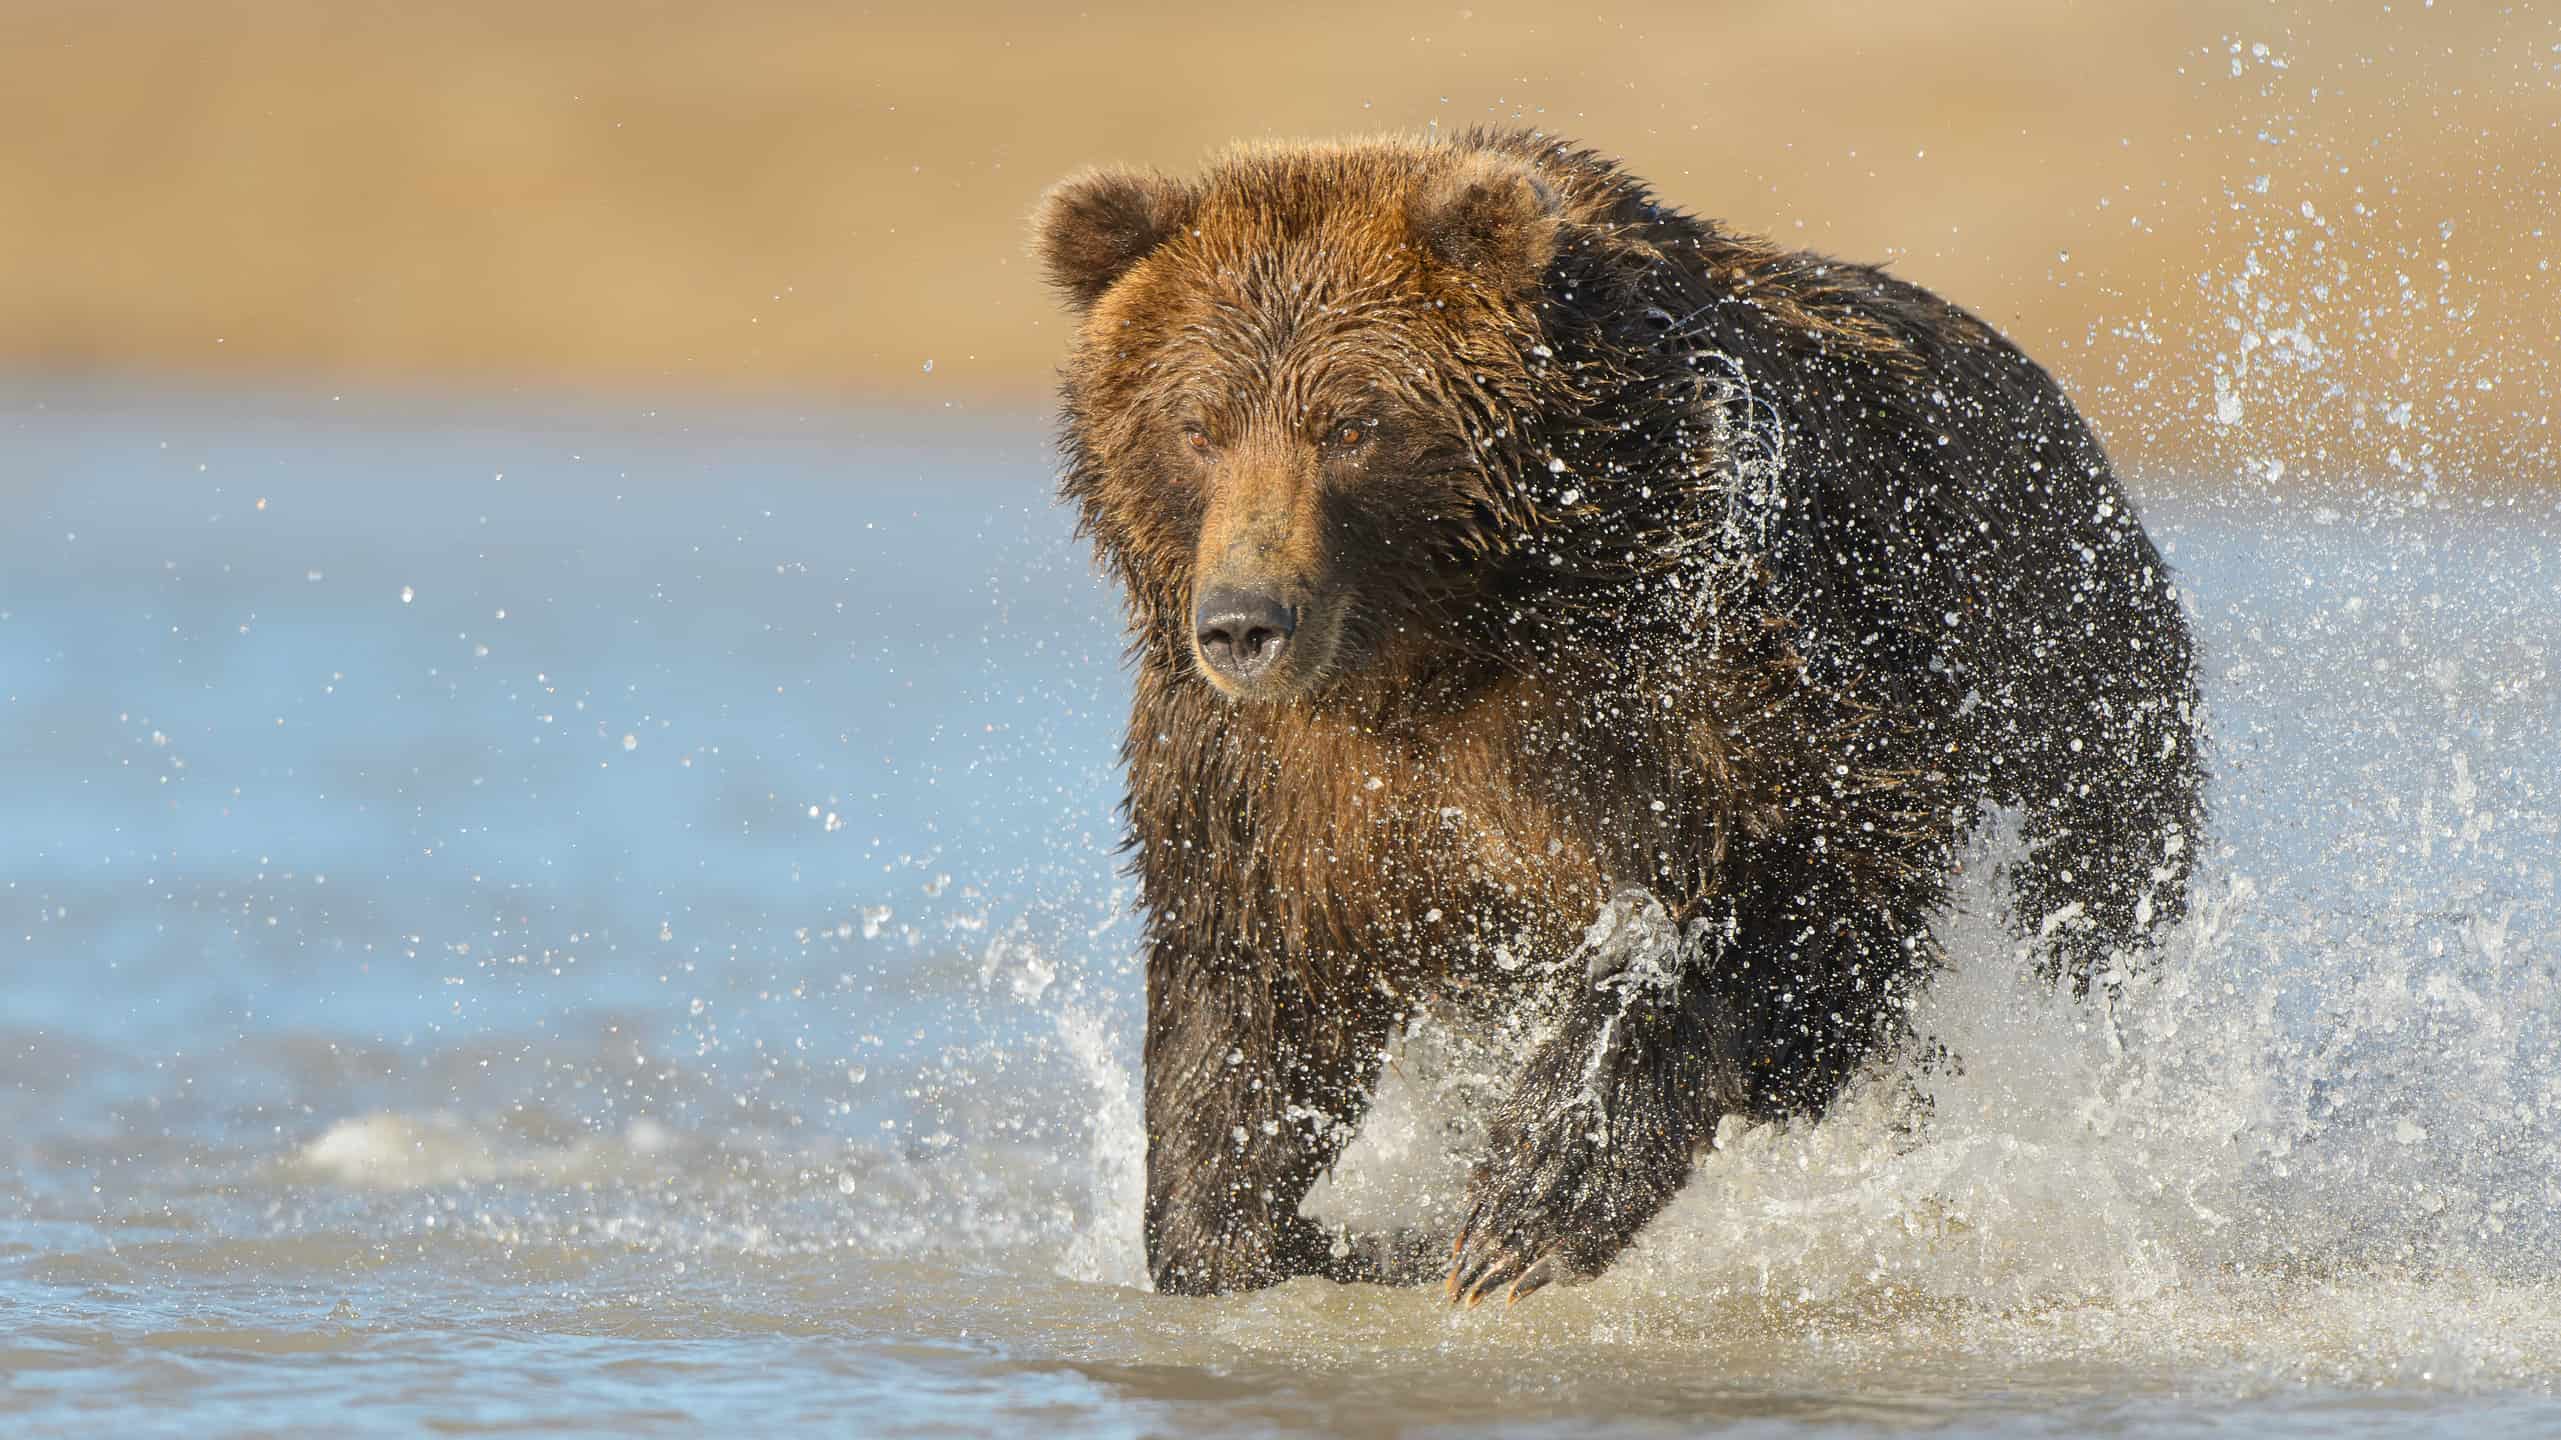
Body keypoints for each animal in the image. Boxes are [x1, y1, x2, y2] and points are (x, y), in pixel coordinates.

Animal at [1032, 130, 2204, 1304]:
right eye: (1197, 424)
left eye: (1353, 425)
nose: (1245, 622)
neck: (1440, 640)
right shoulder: (1260, 777)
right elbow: (1248, 996)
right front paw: (1268, 1236)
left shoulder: (1713, 646)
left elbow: (1799, 865)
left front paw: (1528, 1205)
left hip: (2082, 691)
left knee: (2077, 910)